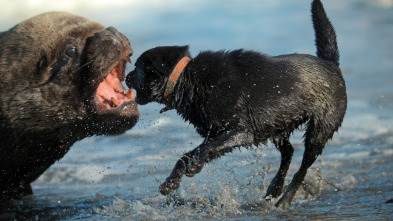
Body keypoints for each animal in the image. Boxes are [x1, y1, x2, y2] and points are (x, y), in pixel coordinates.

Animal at [127, 0, 344, 208]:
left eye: (137, 67)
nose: (126, 77)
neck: (185, 79)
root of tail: (331, 64)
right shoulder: (215, 132)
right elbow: (186, 155)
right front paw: (170, 183)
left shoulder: (241, 131)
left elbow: (206, 149)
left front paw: (195, 166)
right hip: (276, 124)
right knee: (288, 152)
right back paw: (274, 188)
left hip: (319, 131)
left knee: (303, 167)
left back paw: (284, 200)